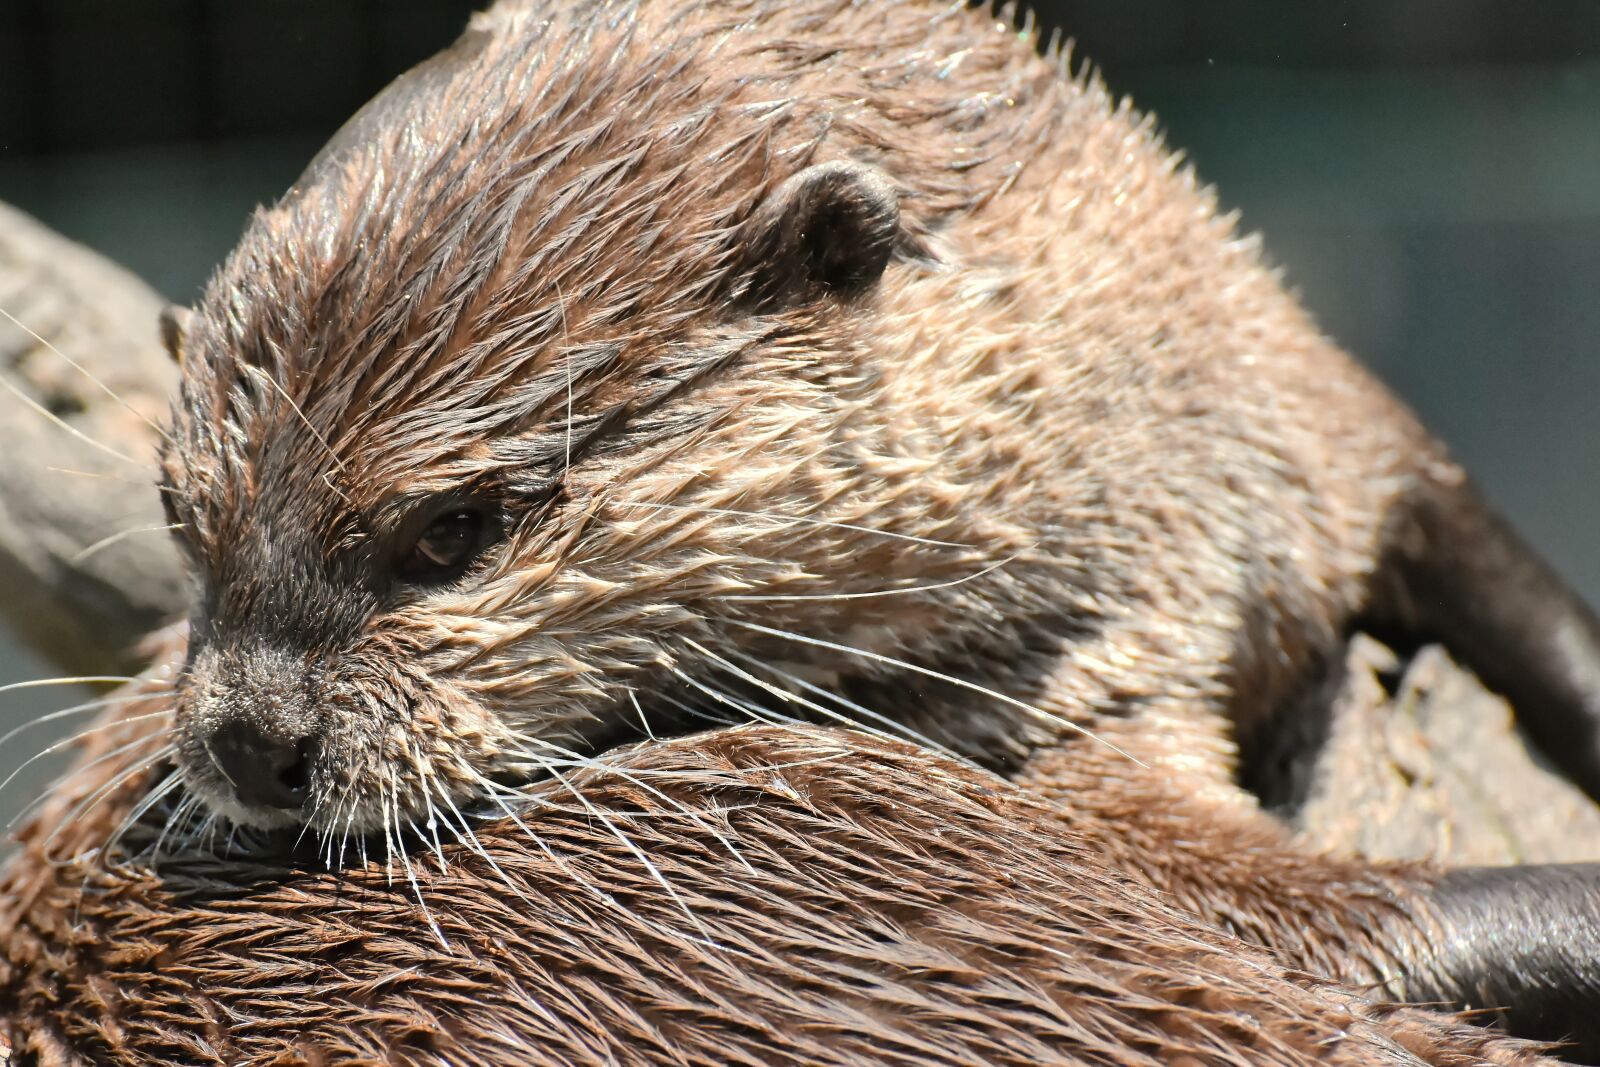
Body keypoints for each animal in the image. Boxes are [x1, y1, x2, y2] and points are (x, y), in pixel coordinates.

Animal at [10, 0, 1600, 1057]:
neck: (1164, 527)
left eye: (452, 528)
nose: (245, 740)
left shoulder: (1307, 418)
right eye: (181, 514)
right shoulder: (1035, 730)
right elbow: (1315, 917)